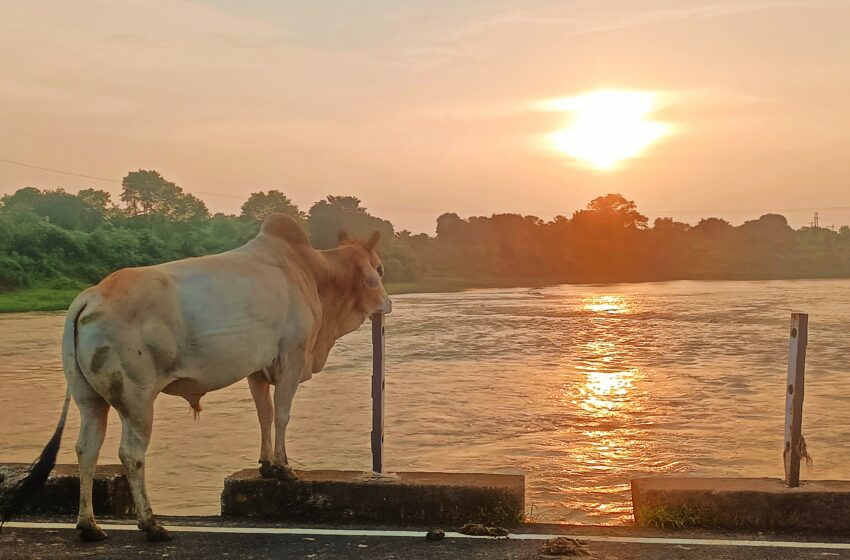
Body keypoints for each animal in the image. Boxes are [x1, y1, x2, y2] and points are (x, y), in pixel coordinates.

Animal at [0, 213, 390, 540]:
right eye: (381, 269)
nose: (387, 303)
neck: (315, 273)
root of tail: (89, 297)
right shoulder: (292, 359)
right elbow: (281, 415)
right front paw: (283, 468)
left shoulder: (256, 369)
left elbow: (263, 415)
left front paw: (266, 465)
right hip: (136, 399)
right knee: (131, 454)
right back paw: (151, 525)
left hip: (89, 399)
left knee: (86, 449)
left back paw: (89, 526)